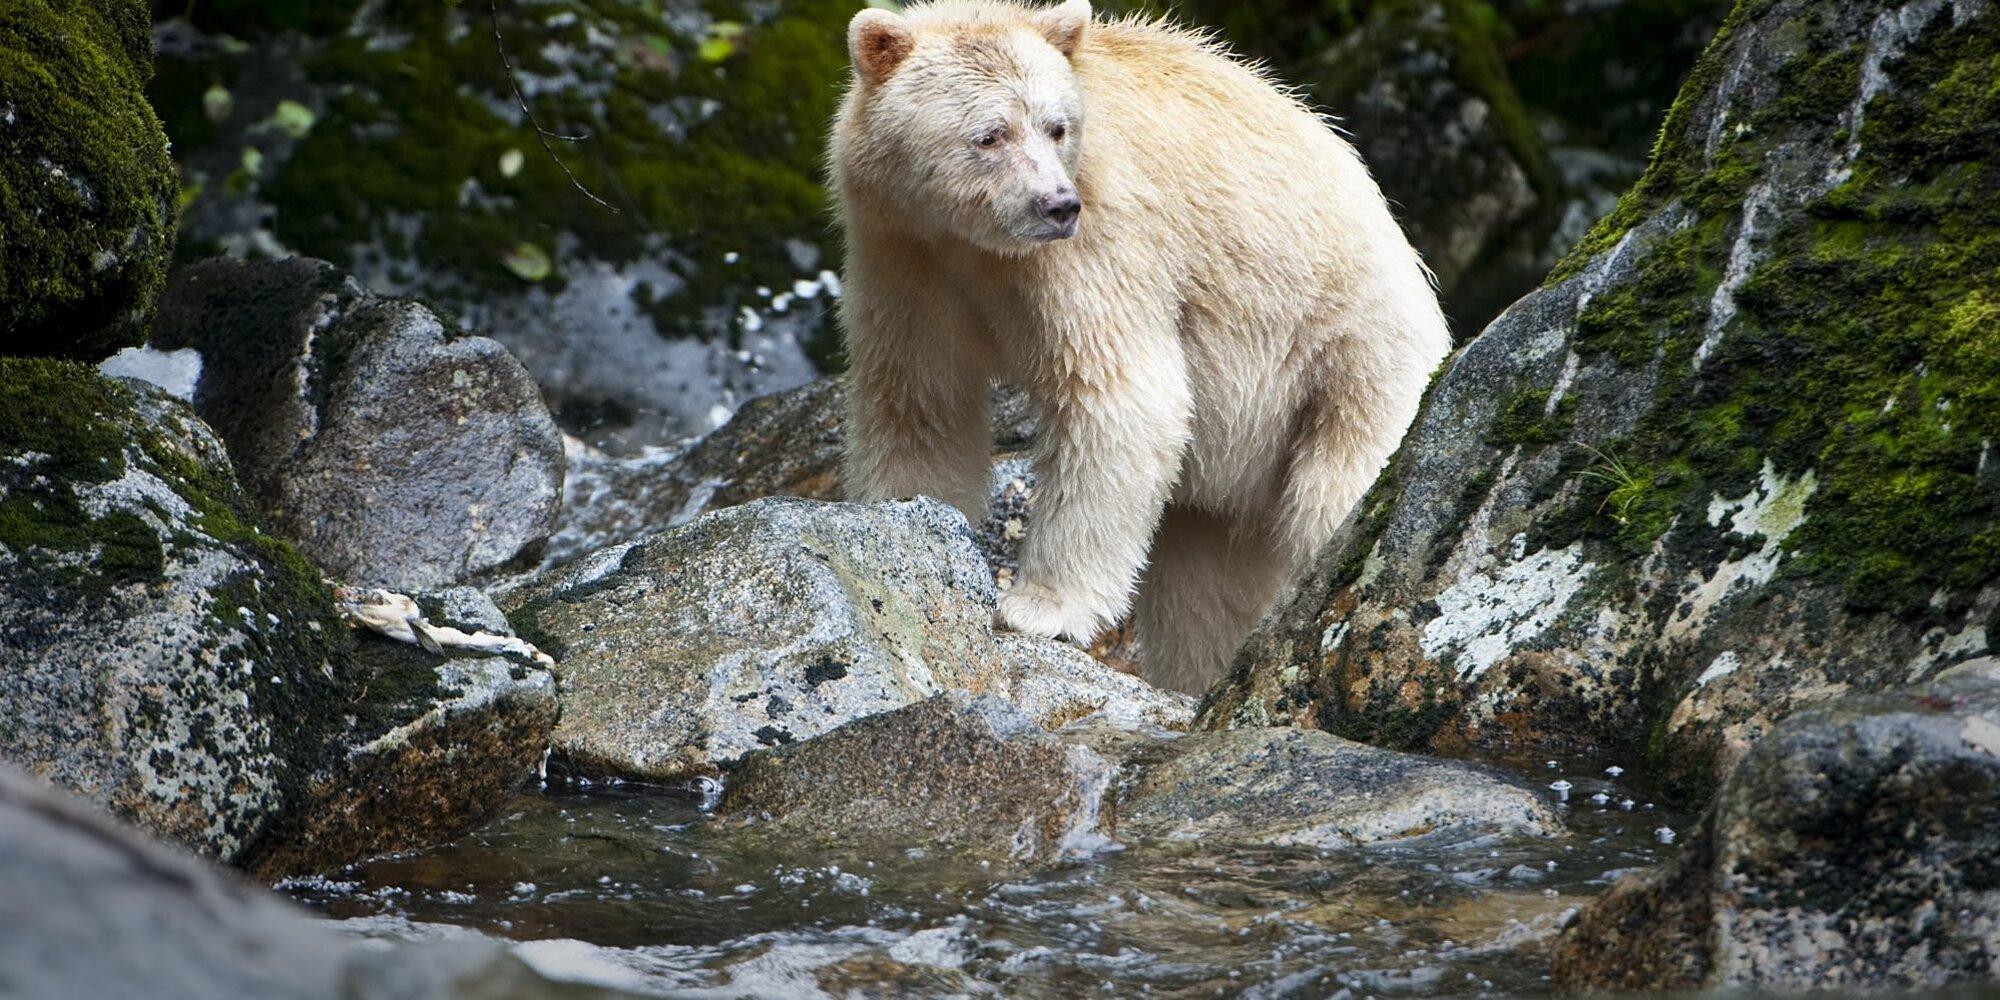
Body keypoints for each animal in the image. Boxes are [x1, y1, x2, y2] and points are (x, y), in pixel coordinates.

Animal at [832, 0, 1452, 694]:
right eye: (990, 134)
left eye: (1057, 127)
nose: (1056, 205)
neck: (979, 248)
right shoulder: (905, 256)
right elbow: (918, 399)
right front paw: (900, 515)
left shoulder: (1100, 249)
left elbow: (1119, 398)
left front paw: (1039, 608)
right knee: (1204, 592)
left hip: (1353, 361)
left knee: (1335, 495)